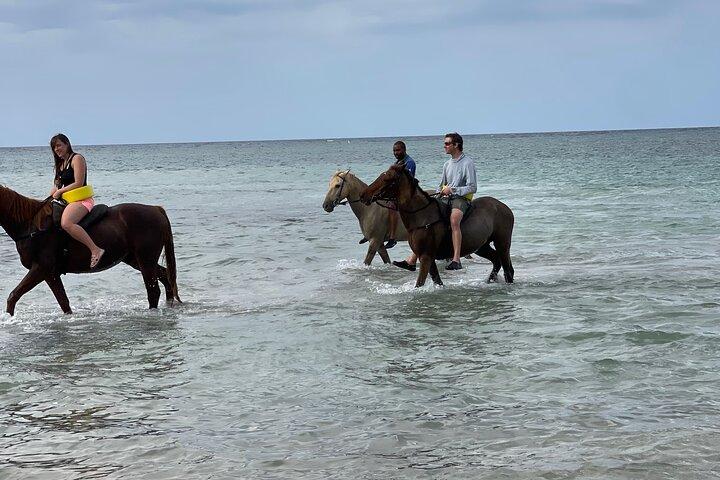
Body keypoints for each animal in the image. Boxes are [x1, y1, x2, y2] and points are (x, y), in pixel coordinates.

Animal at [0, 185, 181, 316]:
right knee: (165, 276)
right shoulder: (50, 274)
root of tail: (156, 209)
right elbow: (63, 302)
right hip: (135, 259)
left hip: (145, 259)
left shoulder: (40, 269)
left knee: (153, 290)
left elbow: (13, 296)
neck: (32, 226)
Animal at [359, 164, 515, 288]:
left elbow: (420, 283)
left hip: (502, 243)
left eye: (387, 179)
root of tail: (504, 207)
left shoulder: (426, 257)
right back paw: (490, 281)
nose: (363, 195)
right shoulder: (427, 256)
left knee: (508, 269)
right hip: (481, 246)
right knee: (496, 261)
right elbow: (437, 280)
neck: (421, 216)